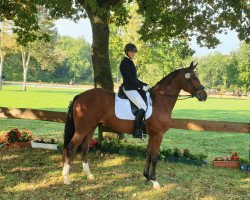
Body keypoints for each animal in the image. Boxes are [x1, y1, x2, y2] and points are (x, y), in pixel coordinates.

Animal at [62, 61, 207, 190]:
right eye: (194, 77)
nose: (204, 96)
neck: (160, 101)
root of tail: (81, 96)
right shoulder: (158, 134)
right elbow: (155, 156)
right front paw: (155, 181)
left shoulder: (152, 135)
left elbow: (148, 153)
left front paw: (147, 177)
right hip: (82, 129)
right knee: (71, 147)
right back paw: (66, 178)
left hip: (90, 128)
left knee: (85, 148)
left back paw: (89, 175)